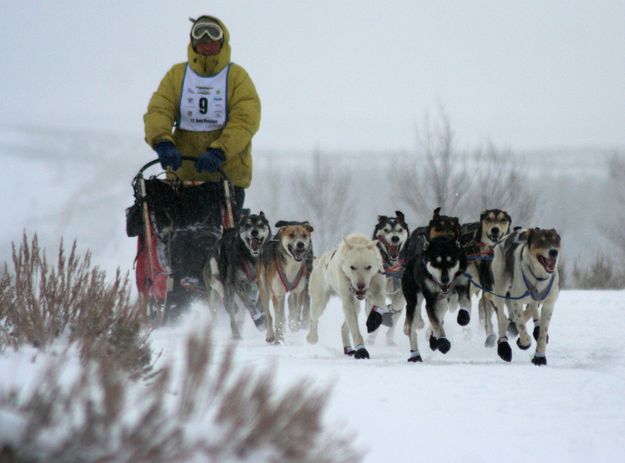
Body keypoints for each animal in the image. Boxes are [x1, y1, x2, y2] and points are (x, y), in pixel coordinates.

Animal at [482, 228, 560, 366]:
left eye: (555, 240)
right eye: (541, 241)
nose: (554, 252)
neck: (538, 277)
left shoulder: (548, 304)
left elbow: (542, 332)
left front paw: (540, 357)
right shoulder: (516, 300)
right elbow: (521, 325)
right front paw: (524, 342)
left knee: (531, 309)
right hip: (500, 286)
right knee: (501, 316)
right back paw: (504, 345)